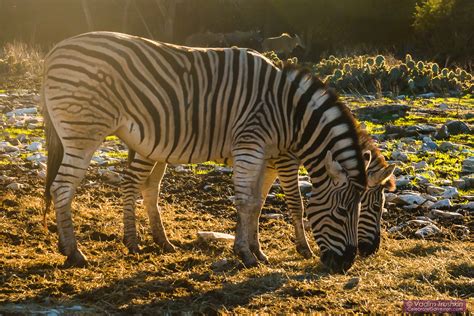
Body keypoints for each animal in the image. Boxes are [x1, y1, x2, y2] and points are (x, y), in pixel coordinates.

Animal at [41, 32, 366, 274]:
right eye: (342, 212)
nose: (346, 264)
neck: (287, 111)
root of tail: (55, 49)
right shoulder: (251, 145)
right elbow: (249, 202)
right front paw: (246, 254)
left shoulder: (263, 154)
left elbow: (257, 203)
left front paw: (256, 250)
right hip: (83, 131)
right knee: (62, 187)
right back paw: (75, 252)